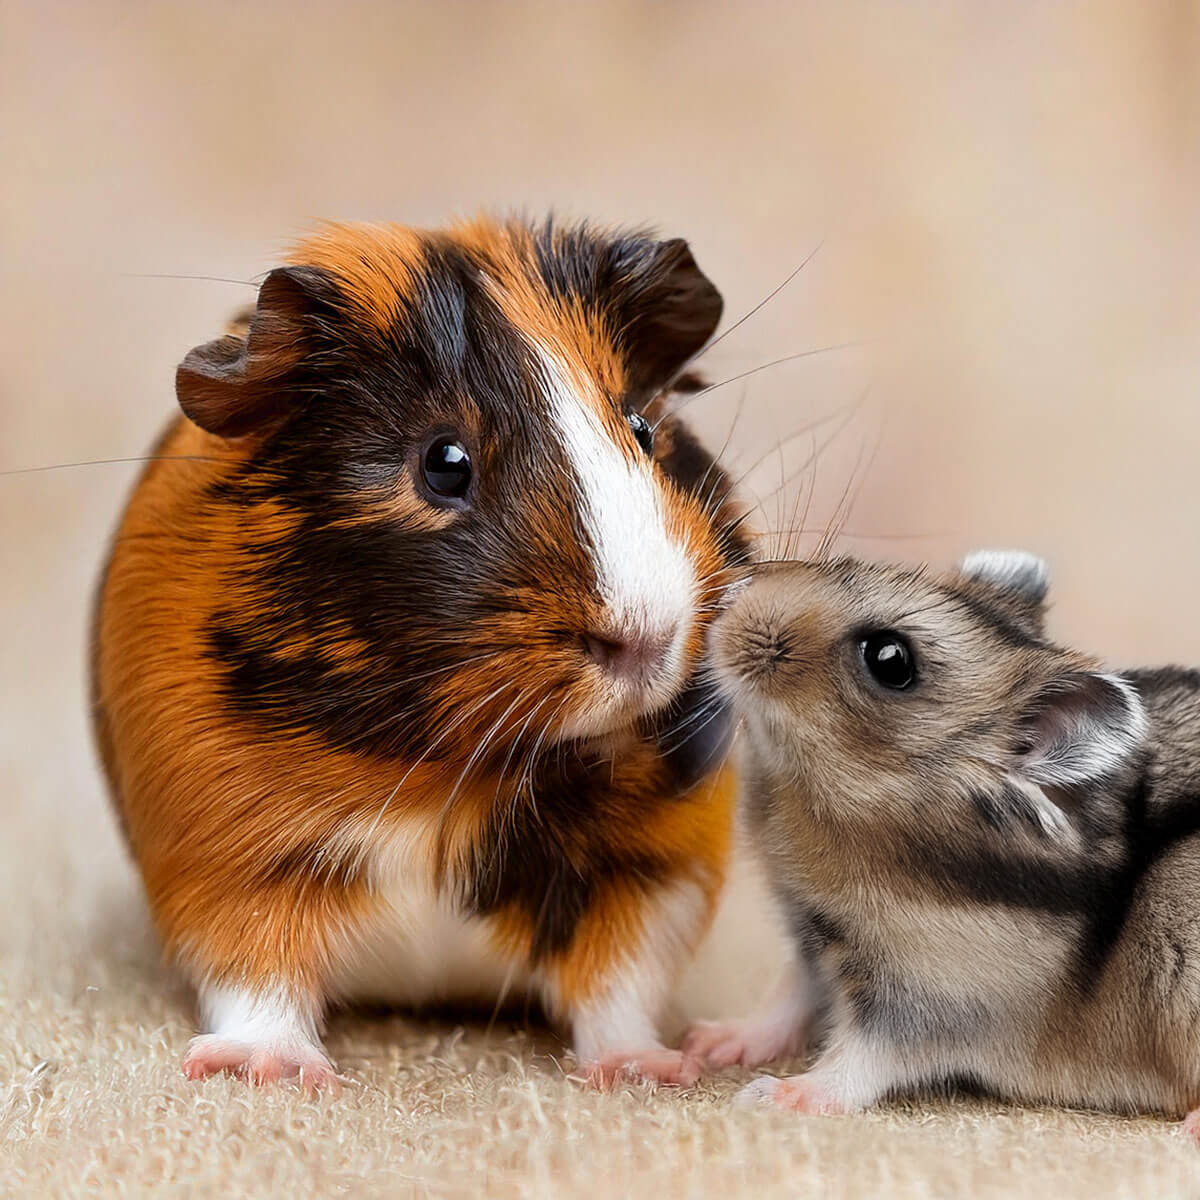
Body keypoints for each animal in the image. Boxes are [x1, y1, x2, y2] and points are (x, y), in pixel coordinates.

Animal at [91, 216, 751, 1089]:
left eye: (643, 431)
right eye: (444, 462)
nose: (647, 635)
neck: (451, 779)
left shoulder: (651, 875)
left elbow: (617, 989)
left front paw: (654, 1069)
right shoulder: (225, 858)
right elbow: (257, 977)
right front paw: (267, 1071)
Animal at [685, 549, 1200, 1136]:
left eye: (890, 660)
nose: (725, 596)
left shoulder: (928, 999)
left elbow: (857, 1059)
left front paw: (769, 1095)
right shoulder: (811, 939)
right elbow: (788, 996)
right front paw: (710, 1041)